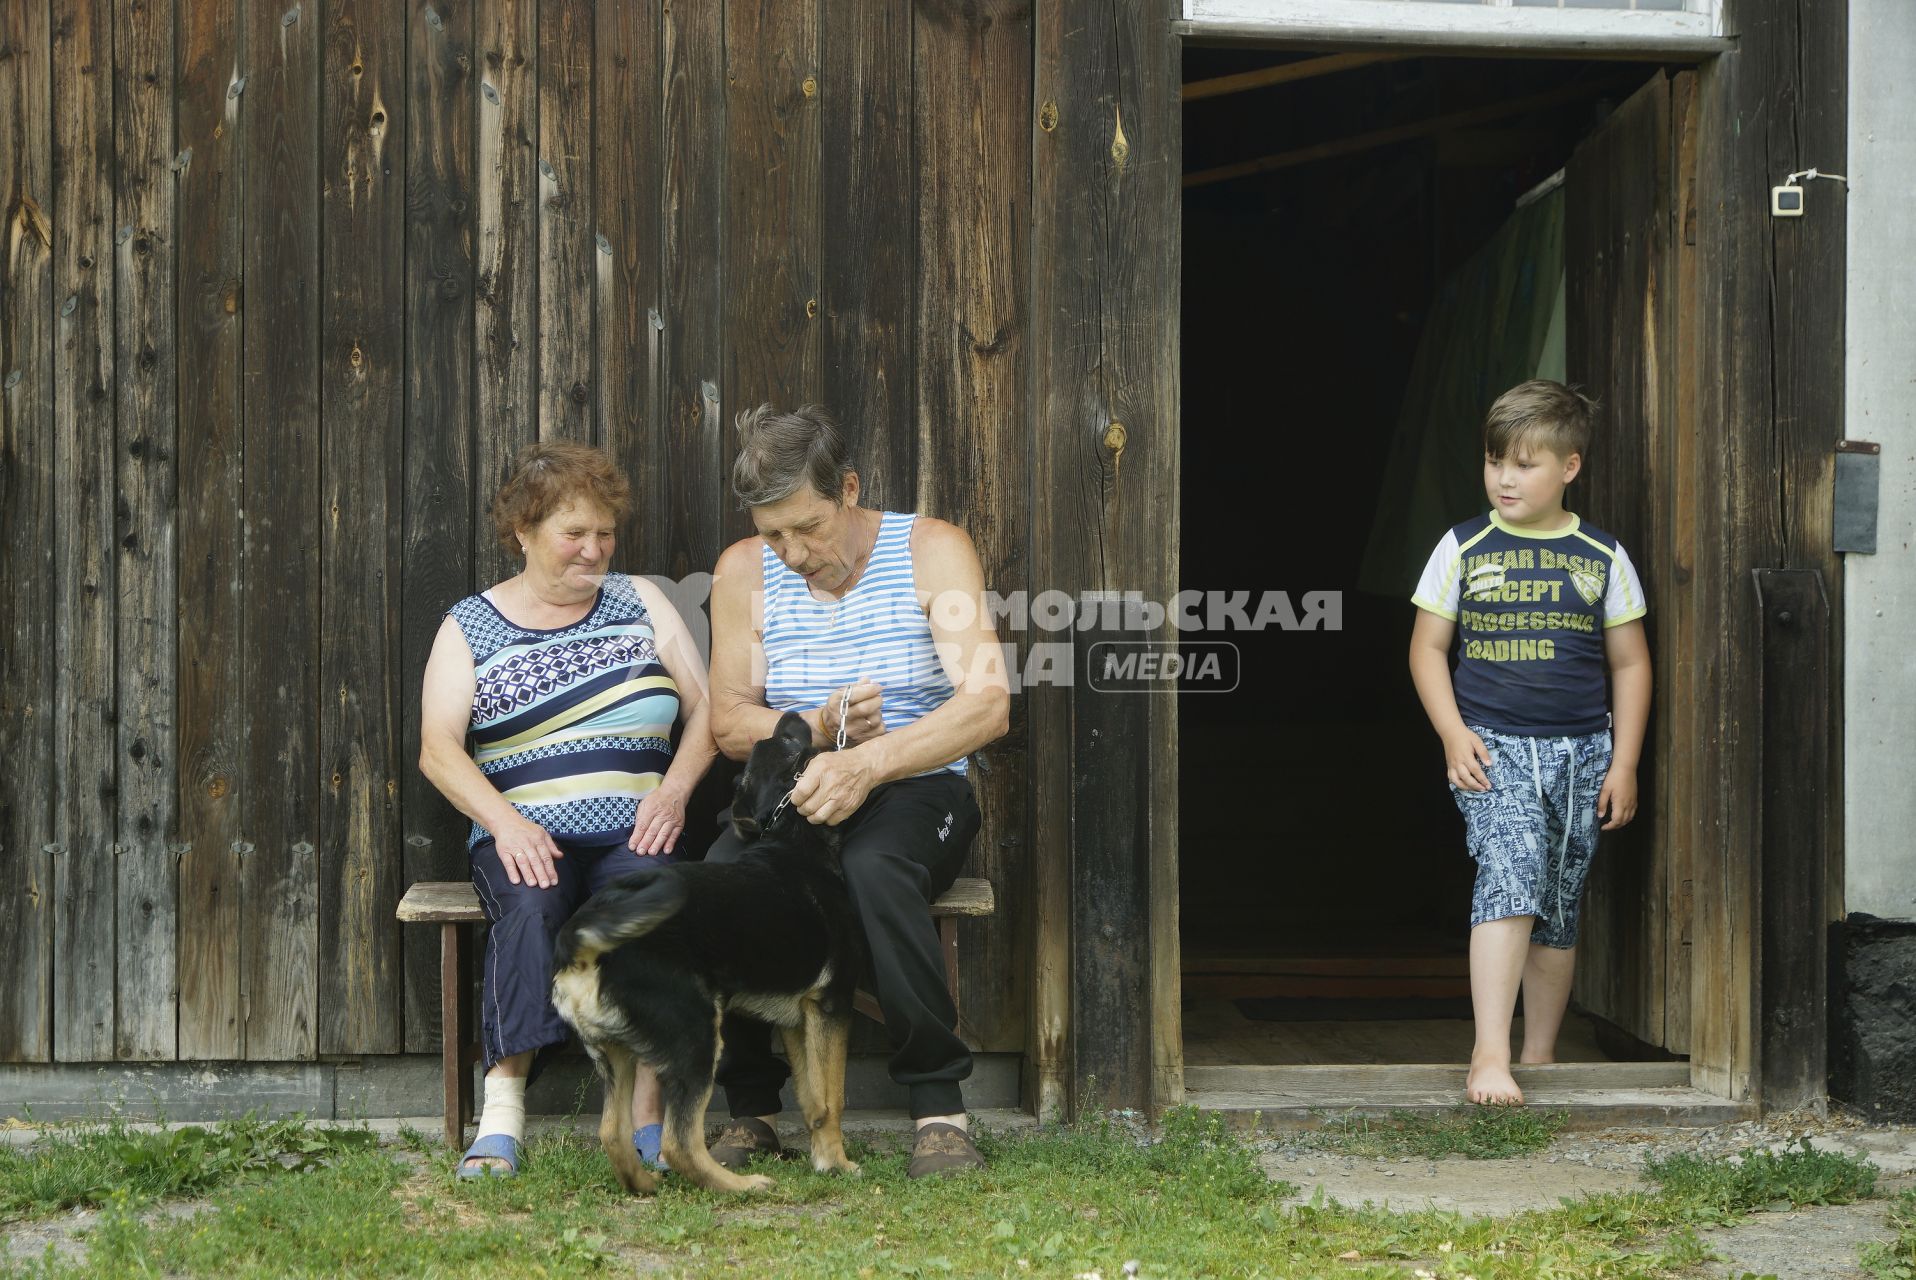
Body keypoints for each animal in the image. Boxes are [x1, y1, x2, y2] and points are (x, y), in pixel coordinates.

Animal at [547, 716, 862, 1195]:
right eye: (791, 745)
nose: (789, 716)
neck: (790, 836)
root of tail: (579, 940)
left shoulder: (798, 1019)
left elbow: (812, 1099)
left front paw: (822, 1157)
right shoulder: (832, 1006)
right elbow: (833, 1098)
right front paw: (838, 1164)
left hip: (616, 1055)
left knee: (612, 1133)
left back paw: (646, 1186)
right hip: (696, 1037)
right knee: (679, 1143)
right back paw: (742, 1185)